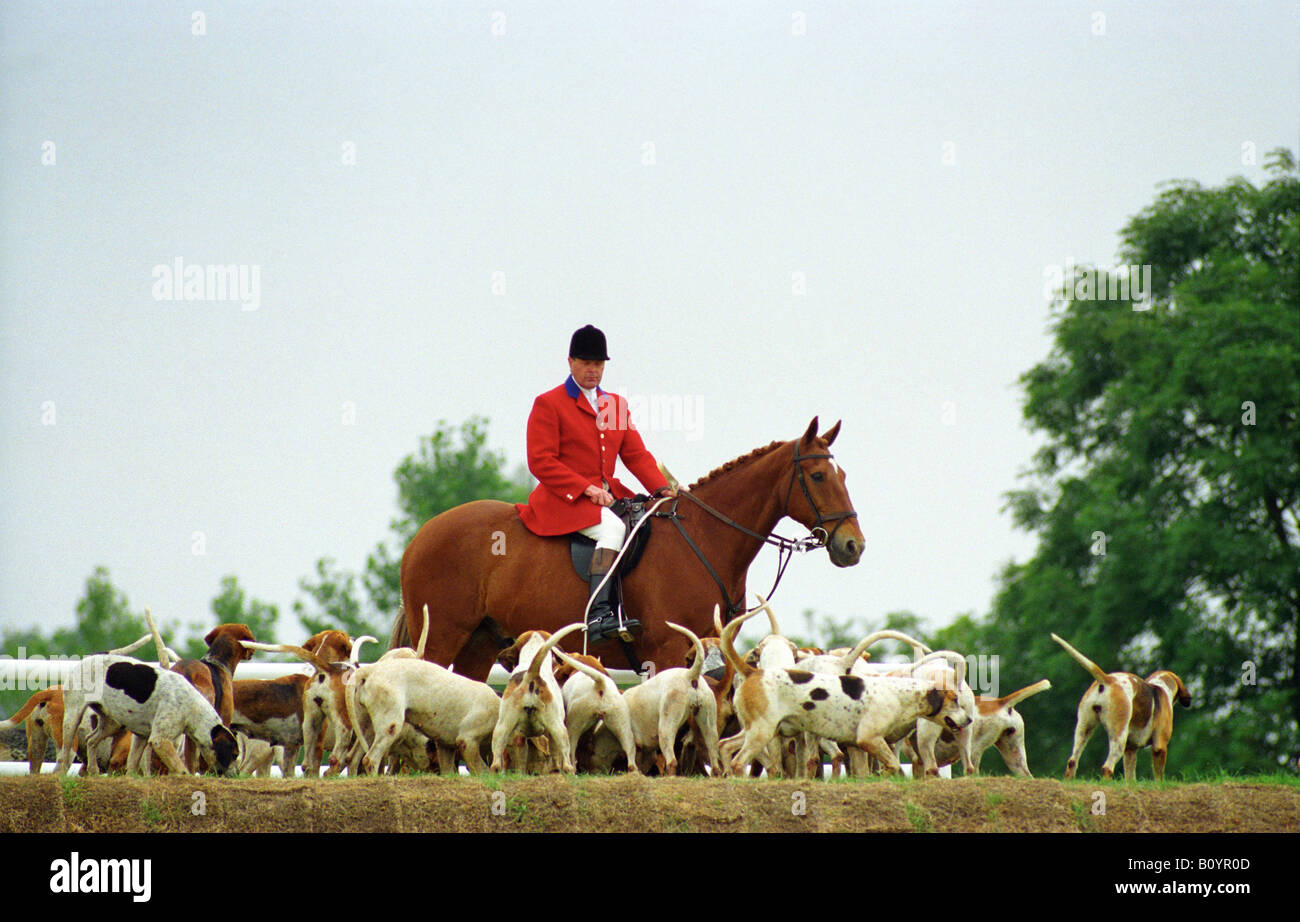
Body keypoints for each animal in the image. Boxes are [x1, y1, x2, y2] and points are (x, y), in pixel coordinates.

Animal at [390, 416, 868, 676]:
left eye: (845, 476)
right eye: (819, 476)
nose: (853, 546)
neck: (704, 538)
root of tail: (422, 535)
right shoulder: (669, 650)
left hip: (480, 642)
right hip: (443, 637)